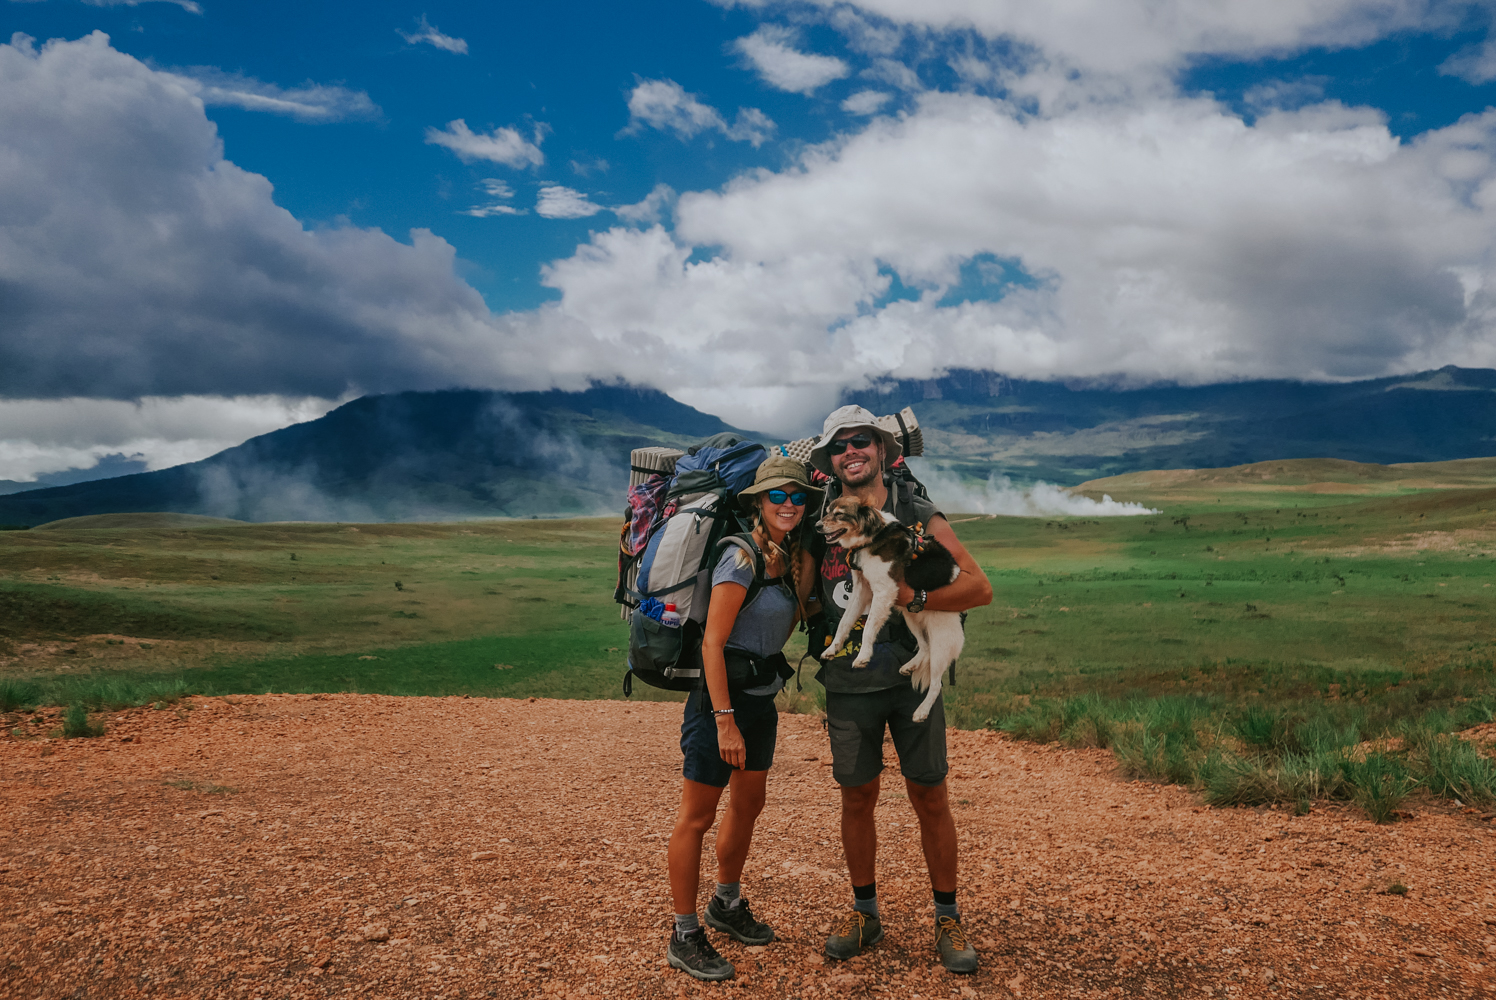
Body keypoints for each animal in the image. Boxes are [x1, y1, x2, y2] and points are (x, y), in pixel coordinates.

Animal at [813, 497, 963, 721]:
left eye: (839, 514)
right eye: (828, 511)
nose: (817, 526)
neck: (872, 536)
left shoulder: (883, 591)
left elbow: (868, 629)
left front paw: (863, 657)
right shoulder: (860, 591)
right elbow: (844, 623)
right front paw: (832, 648)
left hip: (940, 643)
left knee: (936, 684)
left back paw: (921, 712)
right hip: (911, 616)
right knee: (924, 647)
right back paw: (910, 666)